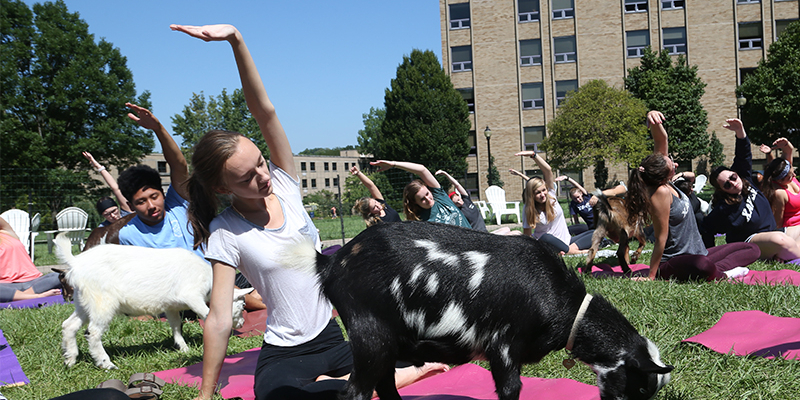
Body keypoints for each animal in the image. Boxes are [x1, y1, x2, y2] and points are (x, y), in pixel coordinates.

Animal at [53, 233, 252, 370]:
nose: (242, 323)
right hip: (103, 301)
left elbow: (176, 325)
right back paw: (106, 363)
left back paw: (70, 359)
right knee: (93, 332)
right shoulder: (192, 295)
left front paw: (183, 348)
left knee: (69, 325)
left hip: (84, 301)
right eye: (242, 305)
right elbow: (206, 313)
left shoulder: (171, 306)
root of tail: (76, 264)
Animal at [282, 222, 668, 400]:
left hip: (385, 343)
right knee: (356, 391)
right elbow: (511, 389)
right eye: (639, 387)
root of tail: (332, 263)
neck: (566, 306)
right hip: (370, 335)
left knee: (385, 386)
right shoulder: (504, 345)